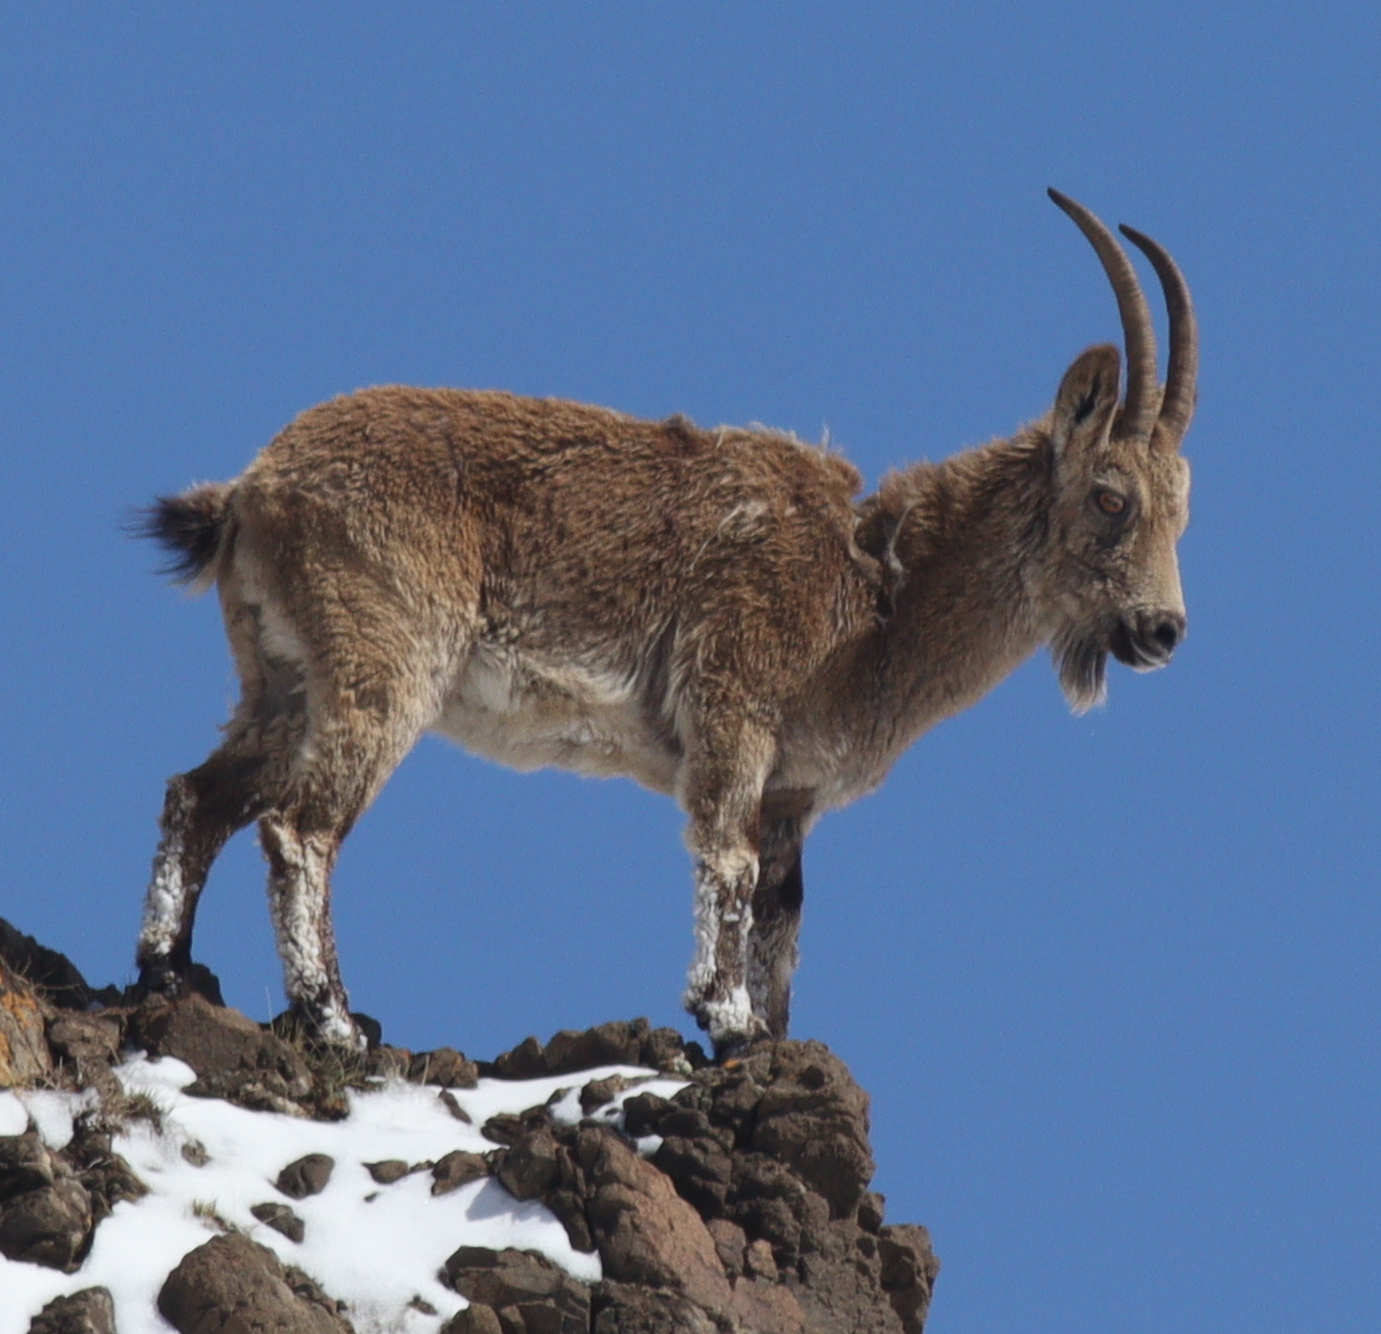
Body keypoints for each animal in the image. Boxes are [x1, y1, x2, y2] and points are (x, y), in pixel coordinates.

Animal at [135, 191, 1196, 1055]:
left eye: (1185, 510)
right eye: (1110, 498)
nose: (1160, 631)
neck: (875, 599)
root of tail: (254, 489)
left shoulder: (791, 794)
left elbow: (783, 912)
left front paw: (766, 1039)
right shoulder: (735, 704)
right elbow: (725, 860)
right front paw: (720, 1015)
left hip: (282, 671)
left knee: (201, 794)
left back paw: (169, 967)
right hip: (384, 659)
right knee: (298, 824)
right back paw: (332, 1018)